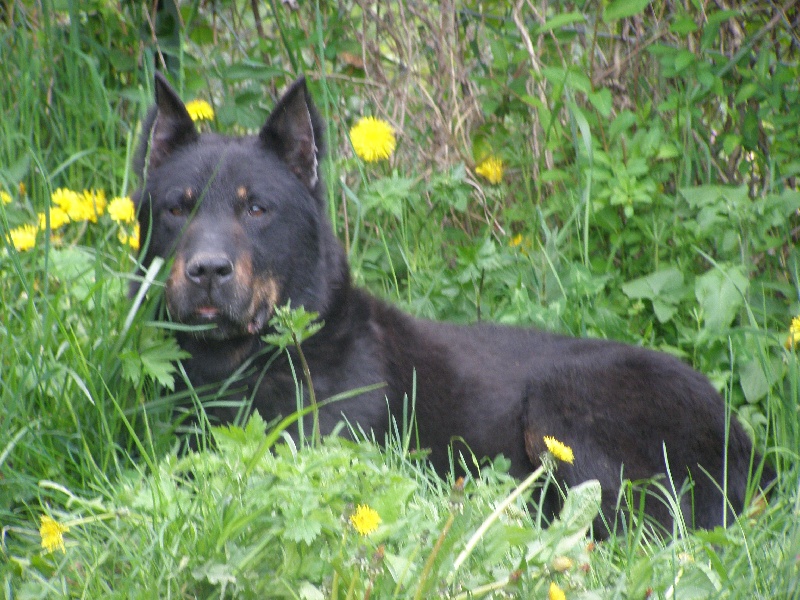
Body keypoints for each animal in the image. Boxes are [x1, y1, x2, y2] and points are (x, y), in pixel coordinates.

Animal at [134, 72, 772, 536]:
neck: (248, 360)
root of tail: (741, 440)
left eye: (256, 209)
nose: (207, 270)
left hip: (566, 399)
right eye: (177, 208)